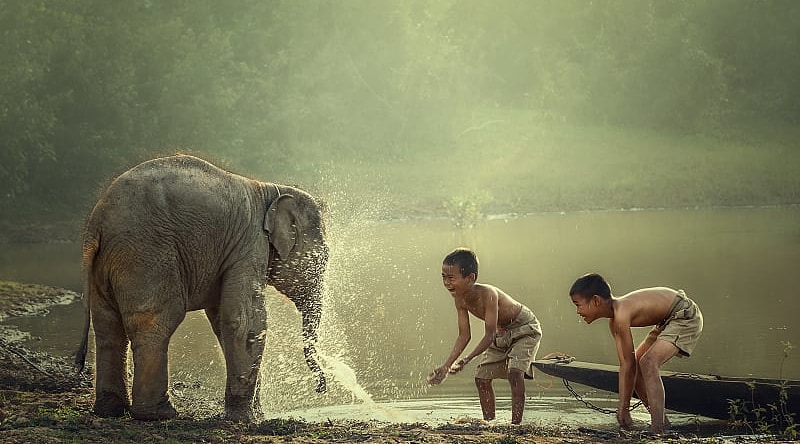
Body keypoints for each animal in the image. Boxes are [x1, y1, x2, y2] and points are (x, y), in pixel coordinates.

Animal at [74, 154, 328, 421]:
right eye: (322, 259)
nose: (321, 388)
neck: (272, 190)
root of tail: (98, 220)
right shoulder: (250, 245)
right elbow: (245, 321)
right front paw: (247, 419)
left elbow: (222, 321)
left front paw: (255, 414)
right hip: (146, 256)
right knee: (156, 322)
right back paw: (159, 414)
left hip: (108, 265)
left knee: (108, 327)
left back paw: (110, 411)